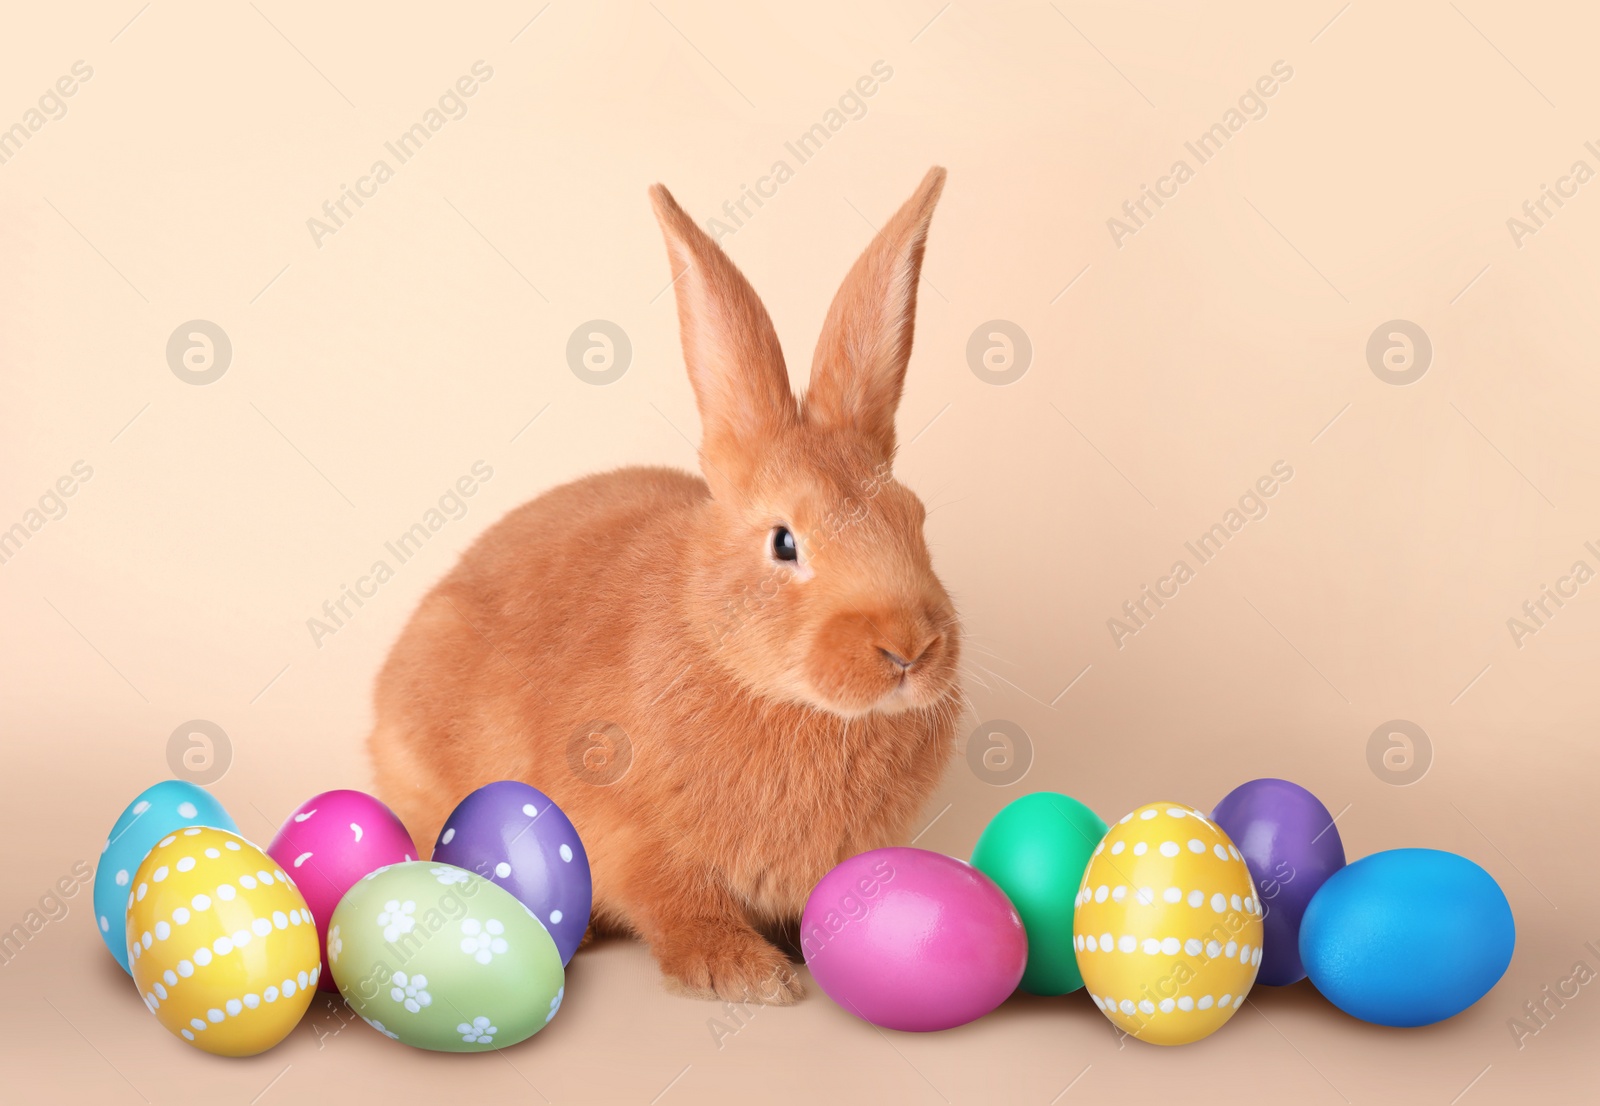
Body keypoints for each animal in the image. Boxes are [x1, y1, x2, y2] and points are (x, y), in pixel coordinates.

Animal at [371, 166, 960, 1005]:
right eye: (785, 543)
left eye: (915, 519)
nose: (910, 648)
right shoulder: (635, 836)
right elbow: (679, 905)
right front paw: (746, 976)